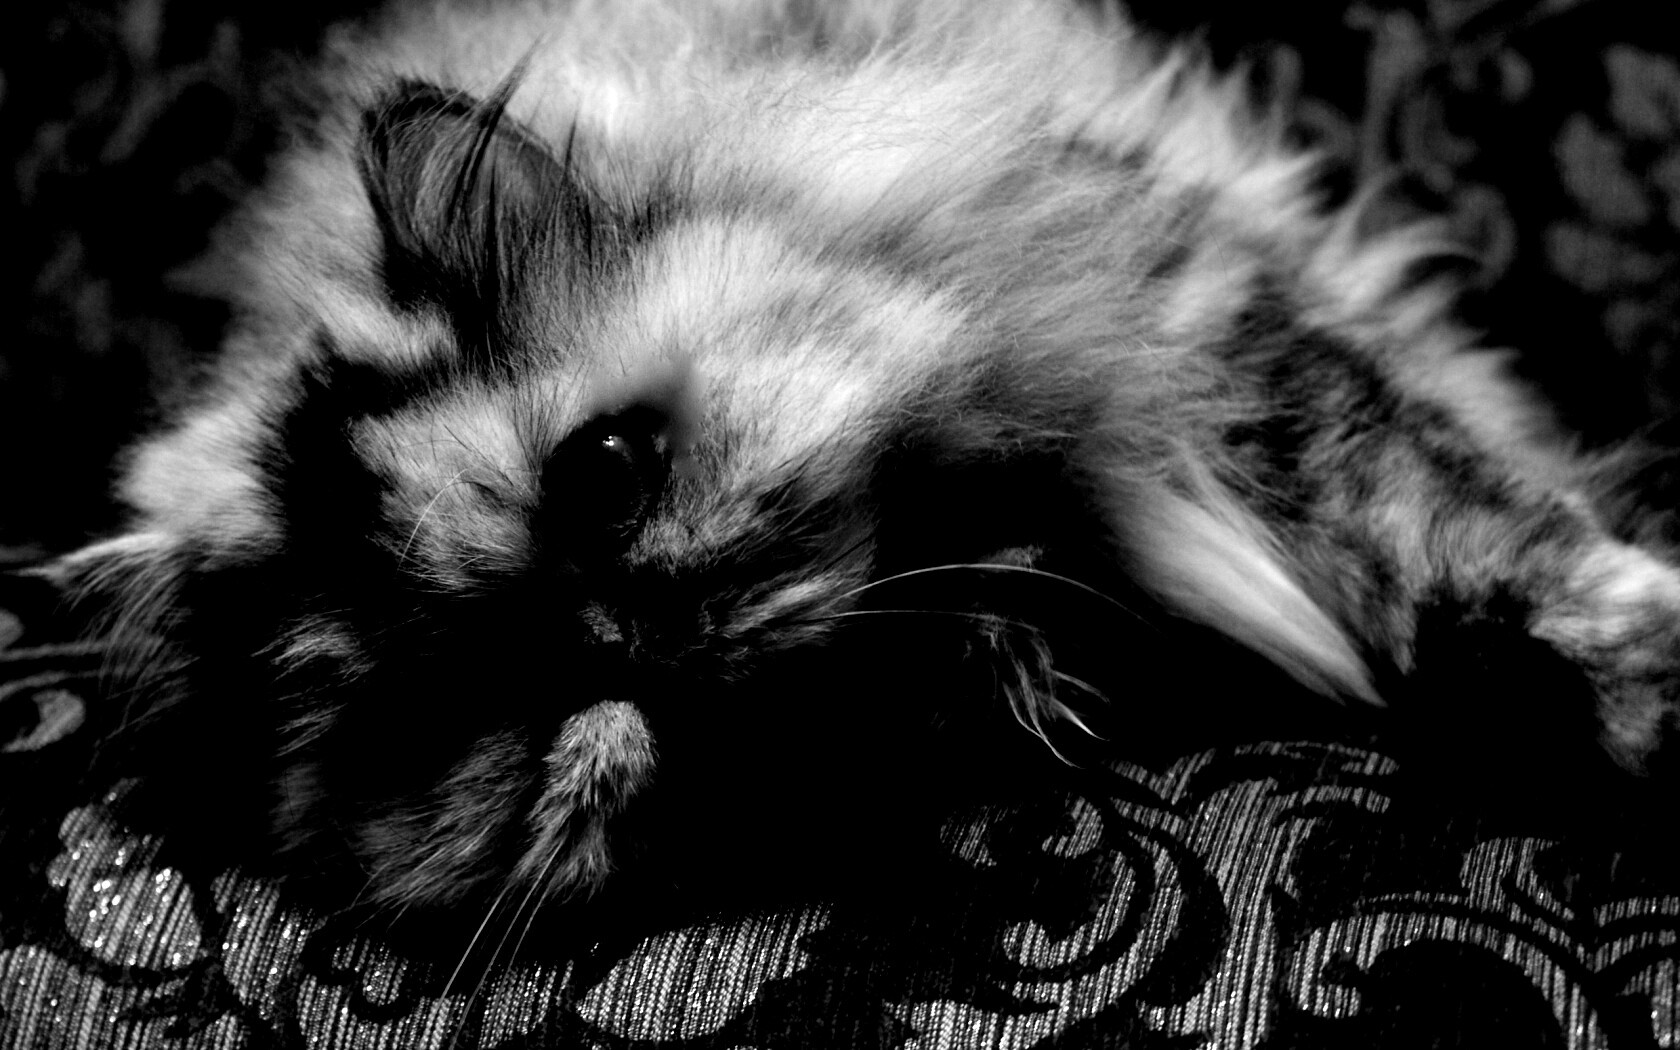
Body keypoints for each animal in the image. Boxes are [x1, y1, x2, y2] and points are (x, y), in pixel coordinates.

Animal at [30, 0, 1680, 924]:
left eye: (607, 471)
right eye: (471, 705)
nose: (614, 634)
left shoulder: (1220, 340)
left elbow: (1449, 525)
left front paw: (1635, 678)